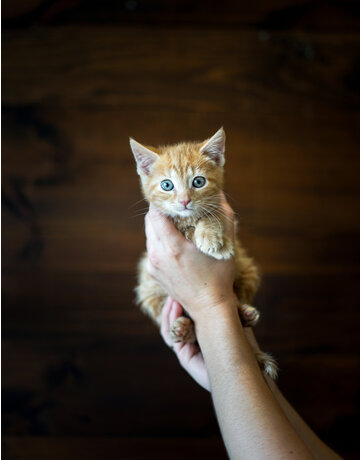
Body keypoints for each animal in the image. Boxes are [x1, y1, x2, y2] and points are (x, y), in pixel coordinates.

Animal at [131, 127, 278, 380]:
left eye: (198, 182)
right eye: (167, 185)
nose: (184, 201)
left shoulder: (222, 209)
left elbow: (211, 212)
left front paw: (213, 237)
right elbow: (186, 227)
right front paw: (206, 237)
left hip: (247, 270)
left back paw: (245, 314)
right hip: (148, 289)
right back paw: (184, 329)